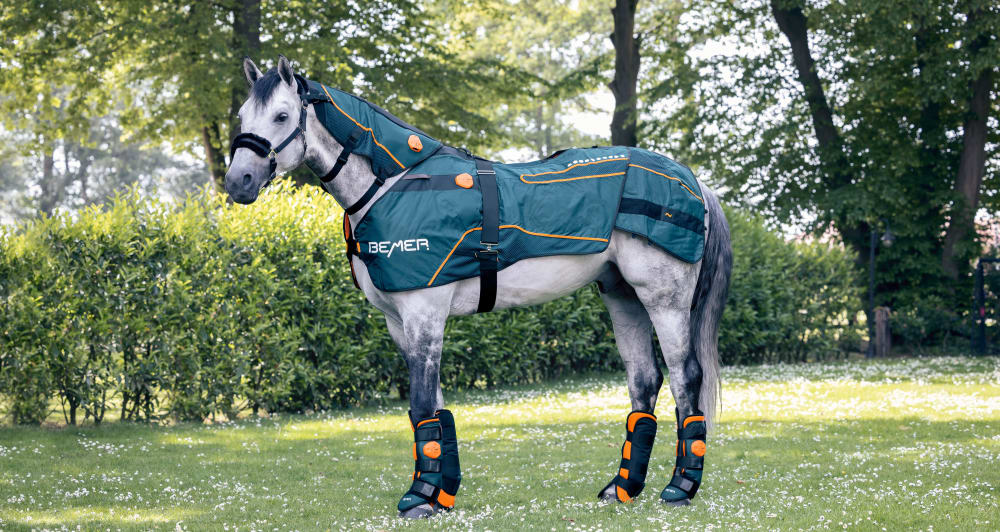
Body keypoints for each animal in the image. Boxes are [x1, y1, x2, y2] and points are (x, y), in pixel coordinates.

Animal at [225, 56, 732, 518]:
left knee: (686, 379)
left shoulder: (424, 314)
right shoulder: (400, 324)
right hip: (622, 296)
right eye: (242, 117)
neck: (392, 184)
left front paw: (419, 498)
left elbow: (421, 405)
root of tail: (691, 180)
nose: (238, 182)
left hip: (664, 300)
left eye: (283, 116)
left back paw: (680, 488)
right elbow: (435, 411)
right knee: (643, 381)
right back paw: (622, 488)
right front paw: (440, 493)